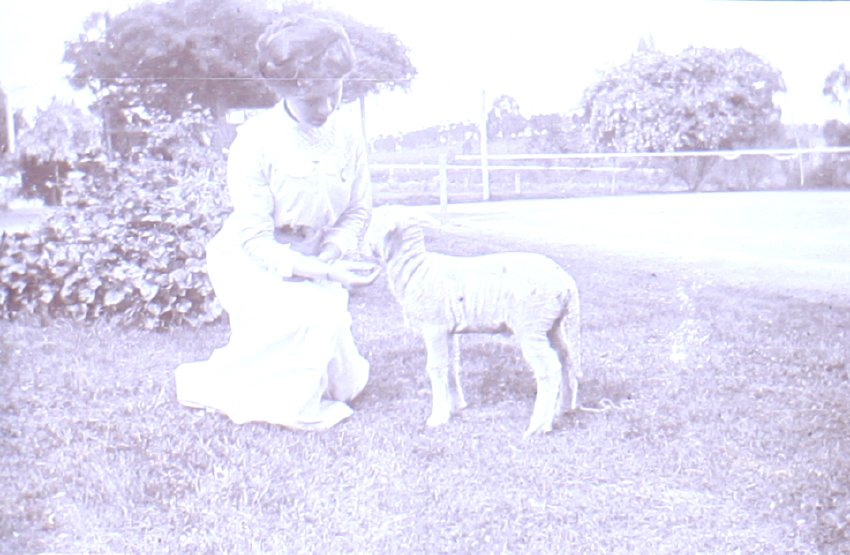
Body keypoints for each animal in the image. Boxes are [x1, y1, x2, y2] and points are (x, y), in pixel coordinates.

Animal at [364, 205, 582, 438]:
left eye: (378, 223)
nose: (364, 248)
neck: (417, 270)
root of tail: (567, 282)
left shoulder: (434, 327)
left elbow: (436, 367)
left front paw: (437, 417)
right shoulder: (447, 330)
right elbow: (451, 366)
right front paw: (456, 407)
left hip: (531, 325)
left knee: (549, 368)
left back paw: (538, 426)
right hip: (552, 324)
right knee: (565, 358)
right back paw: (563, 408)